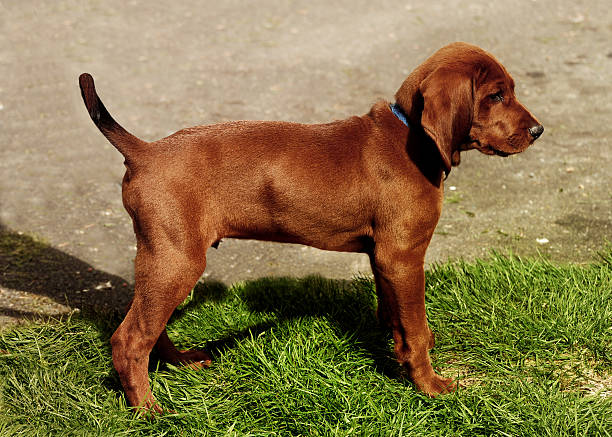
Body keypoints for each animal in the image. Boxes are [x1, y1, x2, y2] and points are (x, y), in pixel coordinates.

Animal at [79, 41, 544, 412]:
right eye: (496, 95)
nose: (539, 131)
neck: (411, 137)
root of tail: (144, 151)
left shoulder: (384, 257)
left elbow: (395, 316)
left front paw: (400, 356)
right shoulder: (404, 256)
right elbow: (415, 326)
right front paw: (429, 385)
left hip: (163, 259)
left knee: (148, 327)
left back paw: (181, 363)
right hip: (177, 259)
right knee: (128, 340)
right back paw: (147, 410)